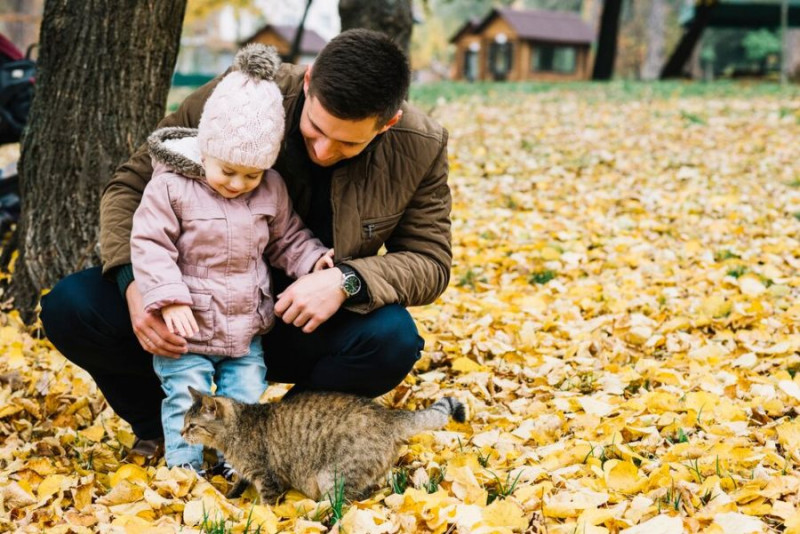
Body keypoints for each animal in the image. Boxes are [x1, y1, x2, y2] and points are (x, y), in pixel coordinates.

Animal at [182, 388, 466, 504]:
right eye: (185, 422)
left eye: (192, 425)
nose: (181, 431)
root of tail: (388, 416)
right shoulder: (247, 473)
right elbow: (237, 485)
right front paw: (230, 498)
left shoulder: (266, 476)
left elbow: (267, 505)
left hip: (335, 475)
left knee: (342, 505)